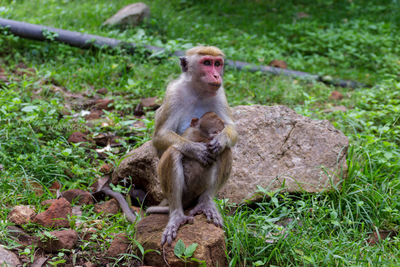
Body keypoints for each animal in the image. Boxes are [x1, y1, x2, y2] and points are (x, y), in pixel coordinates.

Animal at [150, 45, 238, 245]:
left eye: (217, 63)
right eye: (206, 63)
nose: (216, 75)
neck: (199, 91)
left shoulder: (220, 95)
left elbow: (232, 131)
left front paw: (220, 140)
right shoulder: (174, 94)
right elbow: (160, 136)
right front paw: (196, 149)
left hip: (198, 192)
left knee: (225, 152)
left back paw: (206, 202)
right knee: (174, 152)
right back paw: (176, 215)